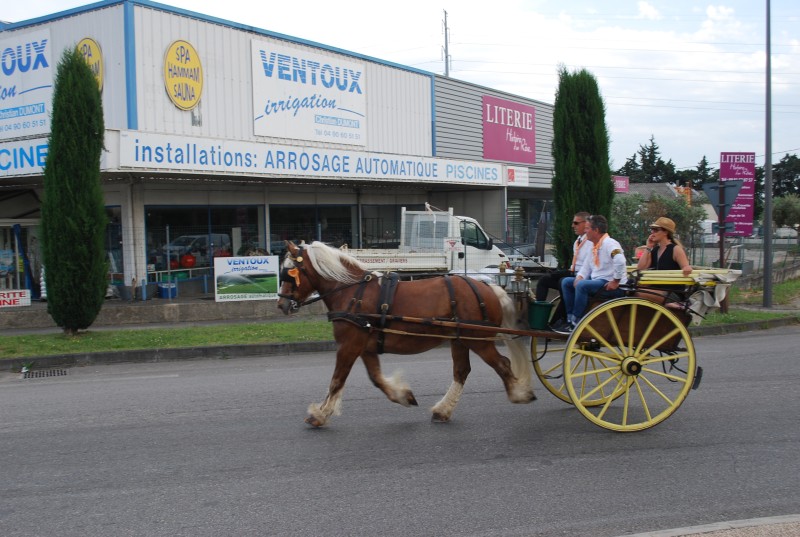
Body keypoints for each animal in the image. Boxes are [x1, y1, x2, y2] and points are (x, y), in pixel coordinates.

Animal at [278, 241, 536, 426]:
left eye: (289, 272)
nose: (281, 305)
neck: (352, 292)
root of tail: (487, 286)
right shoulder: (365, 347)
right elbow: (376, 379)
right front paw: (403, 396)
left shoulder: (349, 345)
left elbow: (336, 381)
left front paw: (319, 415)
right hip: (461, 340)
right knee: (462, 371)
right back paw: (443, 410)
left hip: (479, 340)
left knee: (501, 364)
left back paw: (520, 393)